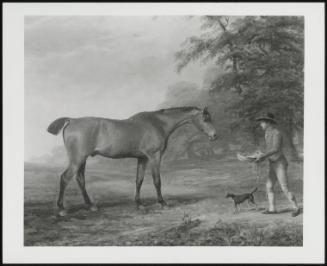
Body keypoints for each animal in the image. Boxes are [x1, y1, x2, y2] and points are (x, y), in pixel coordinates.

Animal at [47, 106, 218, 216]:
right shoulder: (154, 156)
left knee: (80, 179)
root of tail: (72, 120)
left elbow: (139, 180)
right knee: (65, 178)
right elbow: (157, 180)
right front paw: (162, 202)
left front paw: (139, 204)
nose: (215, 135)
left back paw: (91, 206)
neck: (157, 123)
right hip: (77, 159)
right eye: (205, 118)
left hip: (82, 160)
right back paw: (62, 209)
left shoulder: (142, 158)